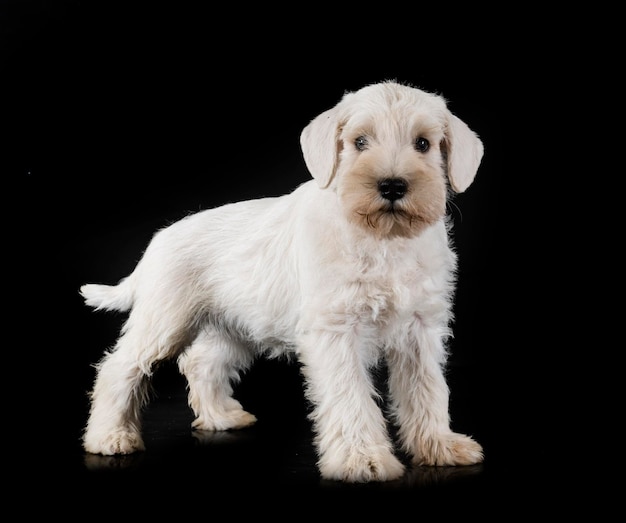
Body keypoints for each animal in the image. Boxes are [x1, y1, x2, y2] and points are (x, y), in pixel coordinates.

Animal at [80, 80, 482, 482]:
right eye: (359, 142)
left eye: (423, 144)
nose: (393, 186)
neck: (383, 240)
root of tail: (157, 241)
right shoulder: (337, 333)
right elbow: (350, 395)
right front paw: (361, 458)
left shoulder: (420, 331)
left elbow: (428, 391)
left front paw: (440, 446)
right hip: (164, 323)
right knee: (120, 368)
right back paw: (110, 436)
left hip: (233, 328)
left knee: (200, 363)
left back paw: (221, 416)